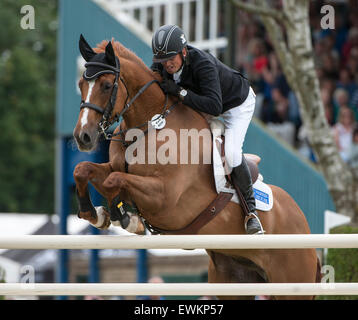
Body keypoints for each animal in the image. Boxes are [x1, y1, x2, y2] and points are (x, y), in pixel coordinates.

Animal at [72, 35, 322, 300]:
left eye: (107, 85)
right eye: (81, 84)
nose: (83, 137)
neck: (150, 125)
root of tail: (302, 222)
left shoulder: (165, 197)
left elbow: (114, 181)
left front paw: (124, 218)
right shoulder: (117, 168)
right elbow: (84, 170)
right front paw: (95, 215)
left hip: (292, 284)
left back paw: (253, 222)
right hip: (233, 277)